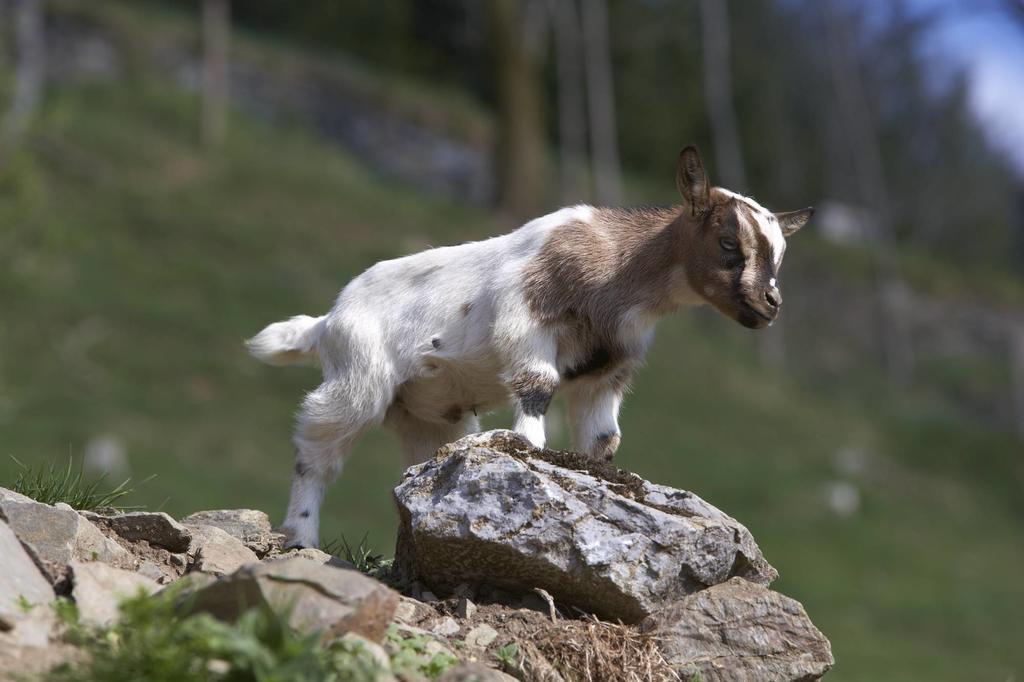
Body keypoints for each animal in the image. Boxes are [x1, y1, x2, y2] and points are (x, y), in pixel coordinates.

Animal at [245, 146, 806, 544]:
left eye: (780, 256)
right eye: (729, 242)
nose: (771, 304)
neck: (617, 267)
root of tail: (326, 320)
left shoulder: (609, 370)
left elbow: (604, 439)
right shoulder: (526, 321)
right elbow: (537, 386)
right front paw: (531, 450)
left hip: (430, 416)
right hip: (357, 380)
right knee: (316, 450)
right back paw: (301, 535)